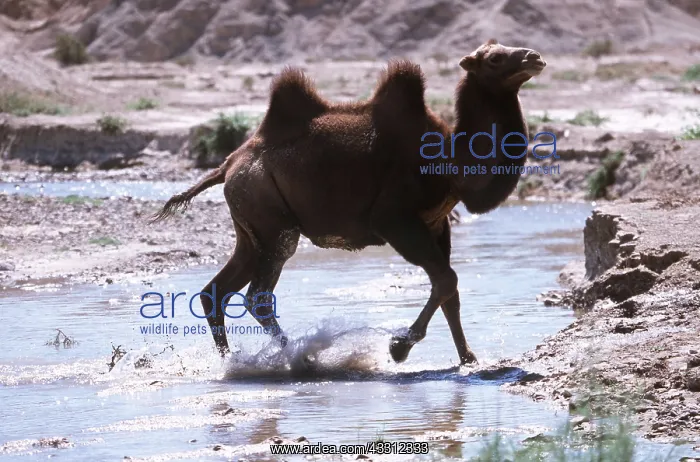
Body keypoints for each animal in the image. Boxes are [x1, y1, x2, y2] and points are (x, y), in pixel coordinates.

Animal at [152, 39, 546, 366]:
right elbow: (447, 280)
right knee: (258, 294)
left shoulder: (437, 223)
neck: (450, 160)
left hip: (250, 226)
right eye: (494, 58)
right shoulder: (394, 219)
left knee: (216, 291)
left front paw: (467, 357)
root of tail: (228, 163)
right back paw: (299, 356)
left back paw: (230, 360)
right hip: (271, 218)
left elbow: (449, 290)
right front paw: (398, 347)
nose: (535, 57)